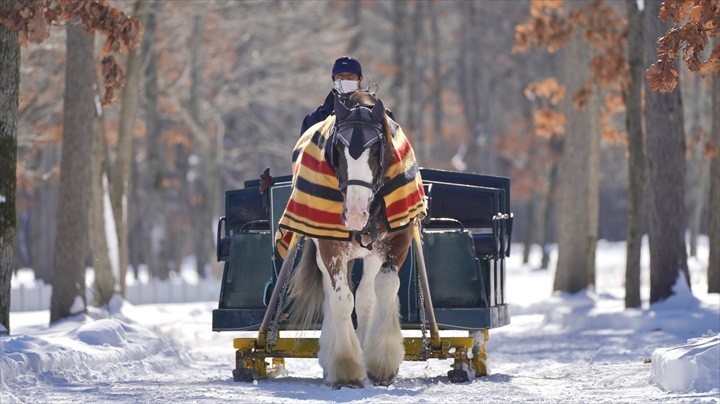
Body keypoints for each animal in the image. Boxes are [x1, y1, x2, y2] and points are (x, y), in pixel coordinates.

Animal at [280, 91, 428, 388]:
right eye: (337, 150)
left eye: (377, 150)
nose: (356, 213)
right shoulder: (330, 247)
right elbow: (341, 300)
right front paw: (346, 364)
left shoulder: (397, 240)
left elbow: (384, 288)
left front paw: (382, 362)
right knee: (332, 294)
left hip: (371, 254)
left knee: (367, 296)